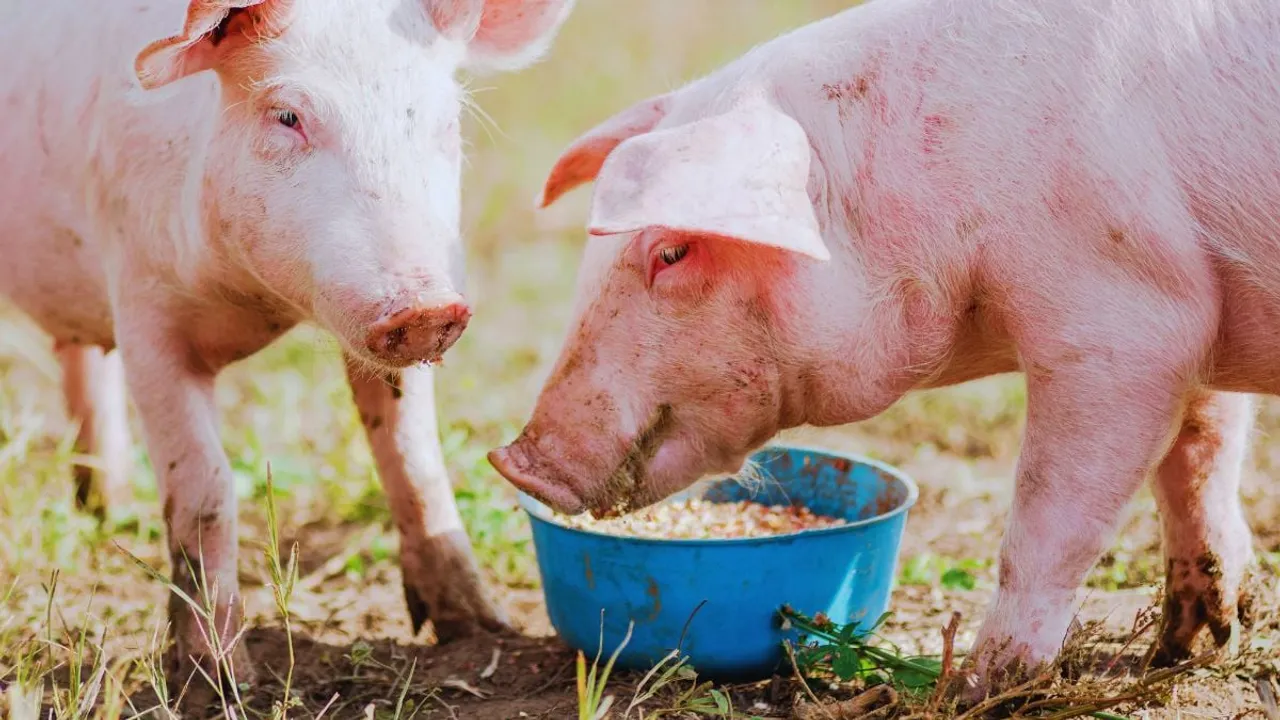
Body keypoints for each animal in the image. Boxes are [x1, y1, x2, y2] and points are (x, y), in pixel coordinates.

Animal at [0, 0, 573, 690]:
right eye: (288, 116)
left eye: (447, 120)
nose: (429, 307)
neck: (258, 303)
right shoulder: (143, 308)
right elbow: (205, 486)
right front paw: (221, 679)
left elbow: (414, 458)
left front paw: (481, 627)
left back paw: (110, 510)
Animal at [489, 0, 1279, 697]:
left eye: (672, 251)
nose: (516, 461)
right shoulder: (1195, 315)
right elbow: (1199, 457)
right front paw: (1185, 649)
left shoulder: (1123, 324)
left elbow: (1050, 515)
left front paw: (979, 687)